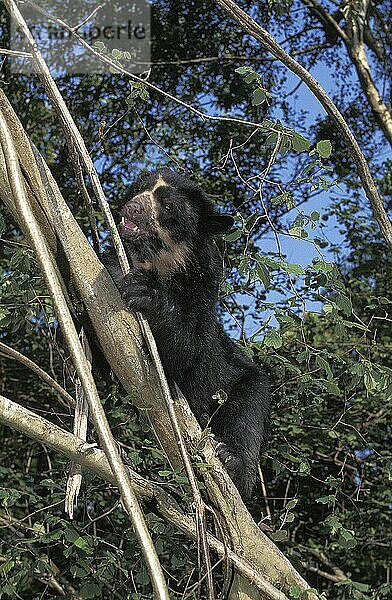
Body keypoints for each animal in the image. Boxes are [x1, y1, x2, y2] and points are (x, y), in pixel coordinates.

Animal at [102, 169, 272, 496]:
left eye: (168, 207)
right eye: (139, 188)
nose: (133, 208)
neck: (158, 262)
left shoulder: (200, 294)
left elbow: (187, 353)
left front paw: (145, 292)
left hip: (247, 384)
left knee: (247, 421)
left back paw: (232, 462)